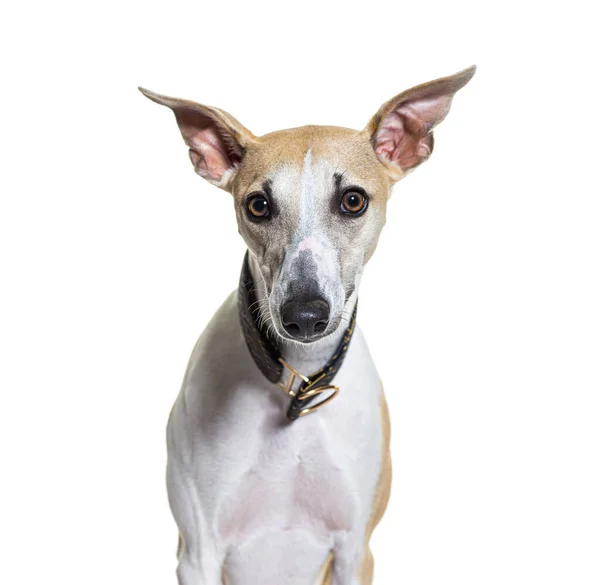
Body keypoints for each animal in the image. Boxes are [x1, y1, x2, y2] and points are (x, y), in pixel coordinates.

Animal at [139, 65, 474, 584]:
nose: (304, 316)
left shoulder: (356, 549)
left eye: (353, 200)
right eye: (258, 205)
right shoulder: (197, 552)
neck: (297, 386)